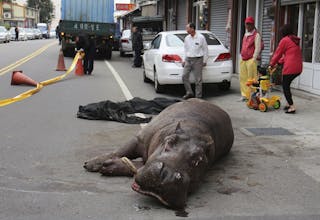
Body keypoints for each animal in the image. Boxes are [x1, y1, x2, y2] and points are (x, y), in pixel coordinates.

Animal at [84, 98, 234, 210]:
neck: (194, 132)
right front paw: (91, 164)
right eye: (170, 141)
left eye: (199, 160)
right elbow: (121, 150)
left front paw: (107, 166)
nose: (167, 176)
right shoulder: (139, 139)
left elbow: (137, 165)